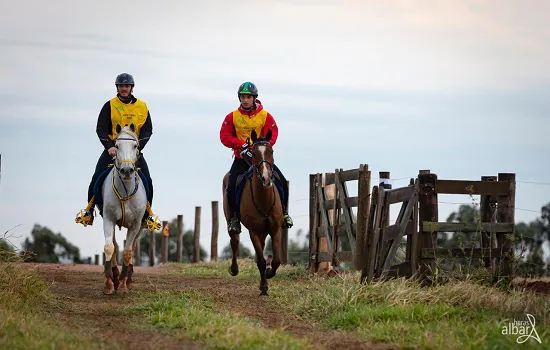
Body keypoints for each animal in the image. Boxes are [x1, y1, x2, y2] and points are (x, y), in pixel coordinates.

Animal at [102, 124, 148, 294]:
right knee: (115, 245)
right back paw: (115, 276)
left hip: (141, 227)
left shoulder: (135, 224)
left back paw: (127, 278)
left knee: (133, 247)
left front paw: (122, 284)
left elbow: (128, 252)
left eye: (135, 146)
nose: (127, 170)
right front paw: (109, 283)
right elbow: (110, 247)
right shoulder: (108, 218)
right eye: (116, 146)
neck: (125, 192)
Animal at [223, 129, 284, 296]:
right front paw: (264, 288)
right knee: (234, 241)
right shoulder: (254, 231)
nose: (266, 178)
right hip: (230, 219)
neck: (264, 200)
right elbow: (261, 261)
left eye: (271, 151)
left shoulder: (276, 229)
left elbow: (276, 260)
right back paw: (234, 269)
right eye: (254, 153)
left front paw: (269, 273)